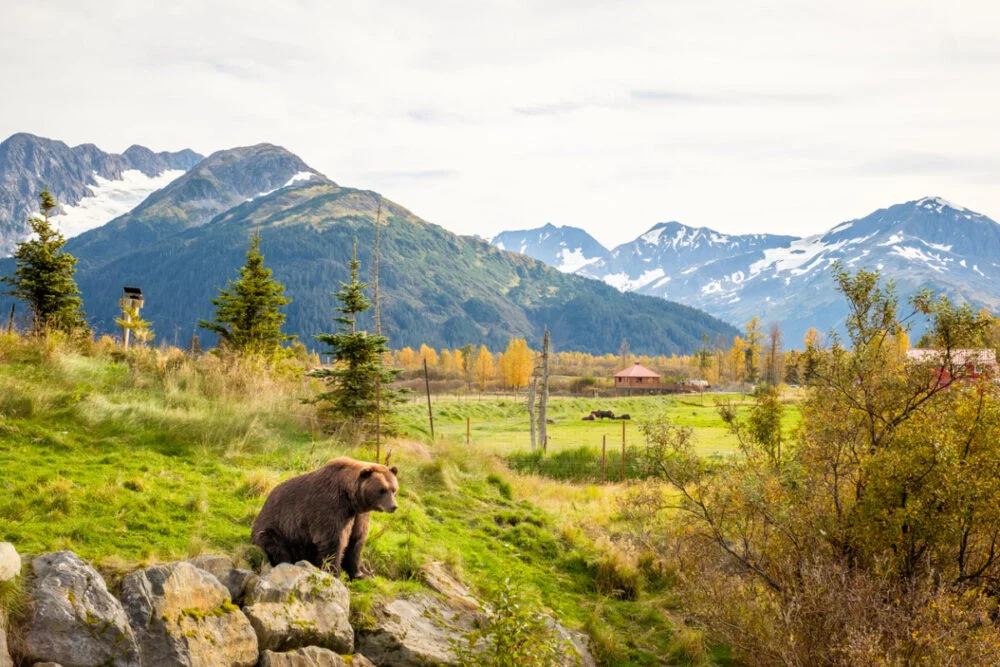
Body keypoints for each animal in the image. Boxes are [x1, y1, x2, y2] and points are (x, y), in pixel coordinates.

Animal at [251, 457, 399, 579]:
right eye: (382, 490)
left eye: (394, 489)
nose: (393, 506)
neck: (350, 499)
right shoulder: (331, 508)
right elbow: (333, 542)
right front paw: (334, 572)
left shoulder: (358, 515)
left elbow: (356, 540)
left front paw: (361, 573)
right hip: (277, 530)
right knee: (275, 545)